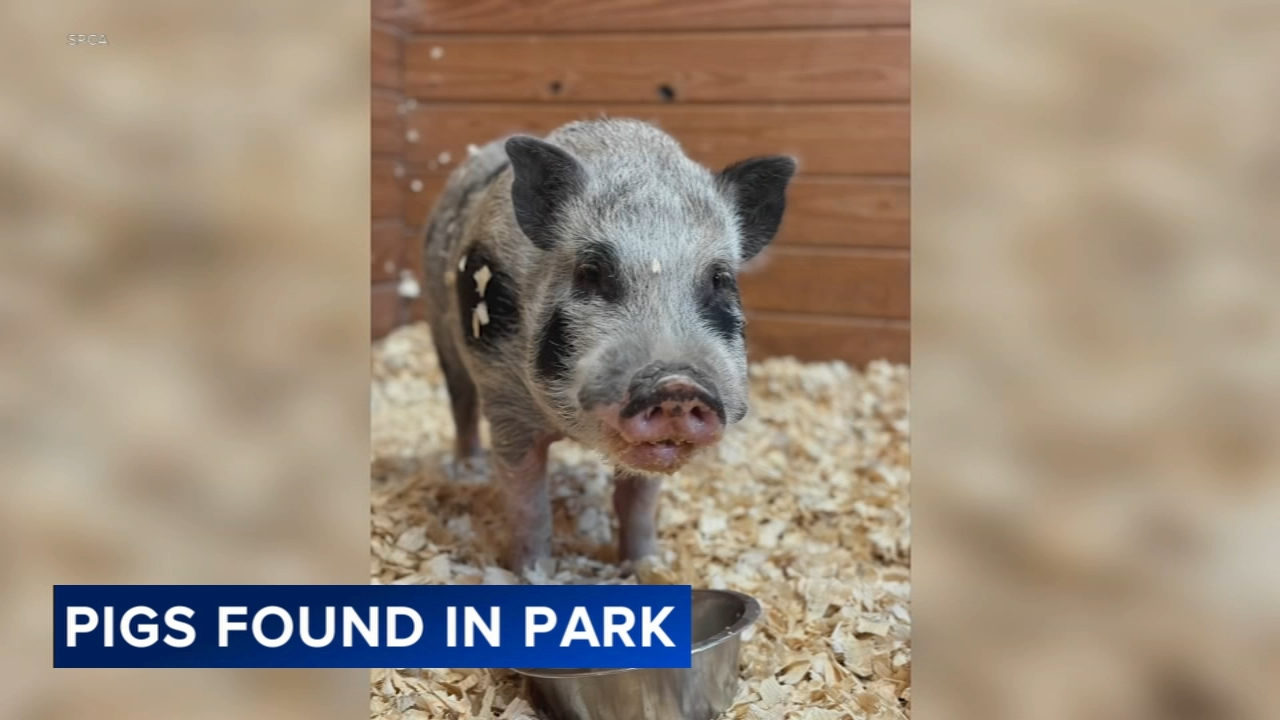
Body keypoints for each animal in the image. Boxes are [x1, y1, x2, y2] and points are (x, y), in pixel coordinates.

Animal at [420, 118, 795, 571]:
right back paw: (468, 472)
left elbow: (637, 502)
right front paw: (533, 572)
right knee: (460, 402)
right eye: (591, 271)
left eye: (719, 279)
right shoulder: (504, 400)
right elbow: (528, 502)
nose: (676, 383)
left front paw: (646, 566)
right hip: (440, 325)